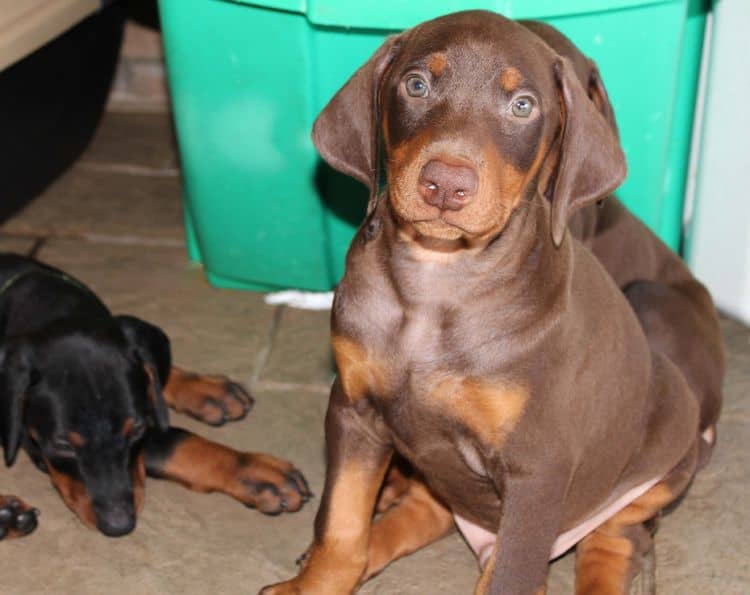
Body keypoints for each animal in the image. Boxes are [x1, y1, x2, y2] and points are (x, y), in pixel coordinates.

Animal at [0, 254, 312, 544]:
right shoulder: (32, 443)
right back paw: (7, 516)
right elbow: (175, 440)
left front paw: (205, 388)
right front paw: (256, 472)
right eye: (62, 444)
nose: (119, 526)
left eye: (136, 429)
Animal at [262, 10, 724, 595]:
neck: (436, 284)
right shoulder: (353, 410)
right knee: (419, 513)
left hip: (659, 453)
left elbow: (514, 576)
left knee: (616, 539)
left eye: (523, 105)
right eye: (416, 85)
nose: (445, 184)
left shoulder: (536, 468)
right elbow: (341, 525)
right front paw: (316, 581)